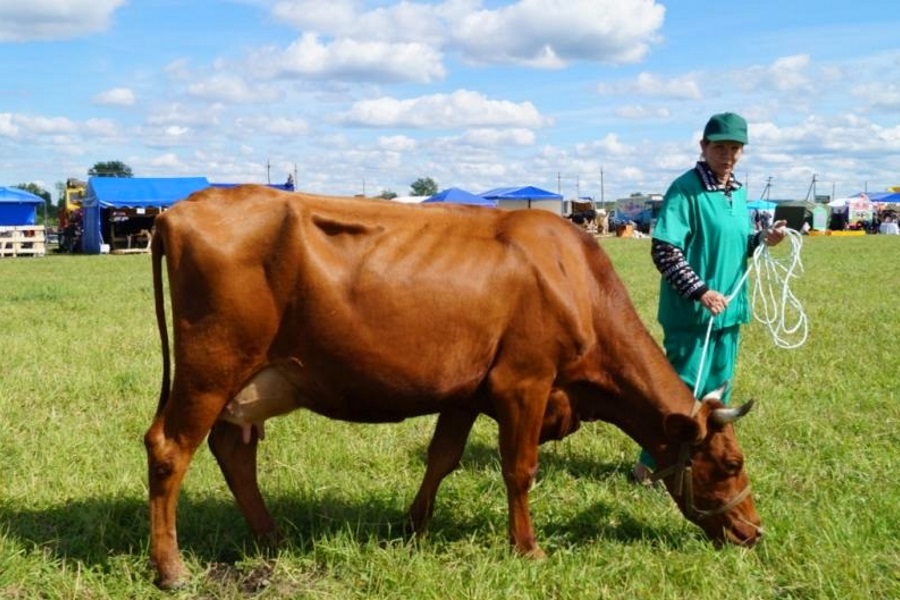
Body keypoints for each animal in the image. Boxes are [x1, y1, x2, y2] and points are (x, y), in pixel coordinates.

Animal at [144, 185, 764, 588]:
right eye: (730, 465)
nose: (754, 532)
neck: (573, 279)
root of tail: (182, 209)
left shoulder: (467, 392)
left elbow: (442, 457)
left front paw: (412, 528)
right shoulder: (524, 383)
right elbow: (520, 470)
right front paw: (528, 549)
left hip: (239, 382)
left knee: (232, 449)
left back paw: (270, 536)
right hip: (210, 367)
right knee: (170, 448)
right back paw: (171, 568)